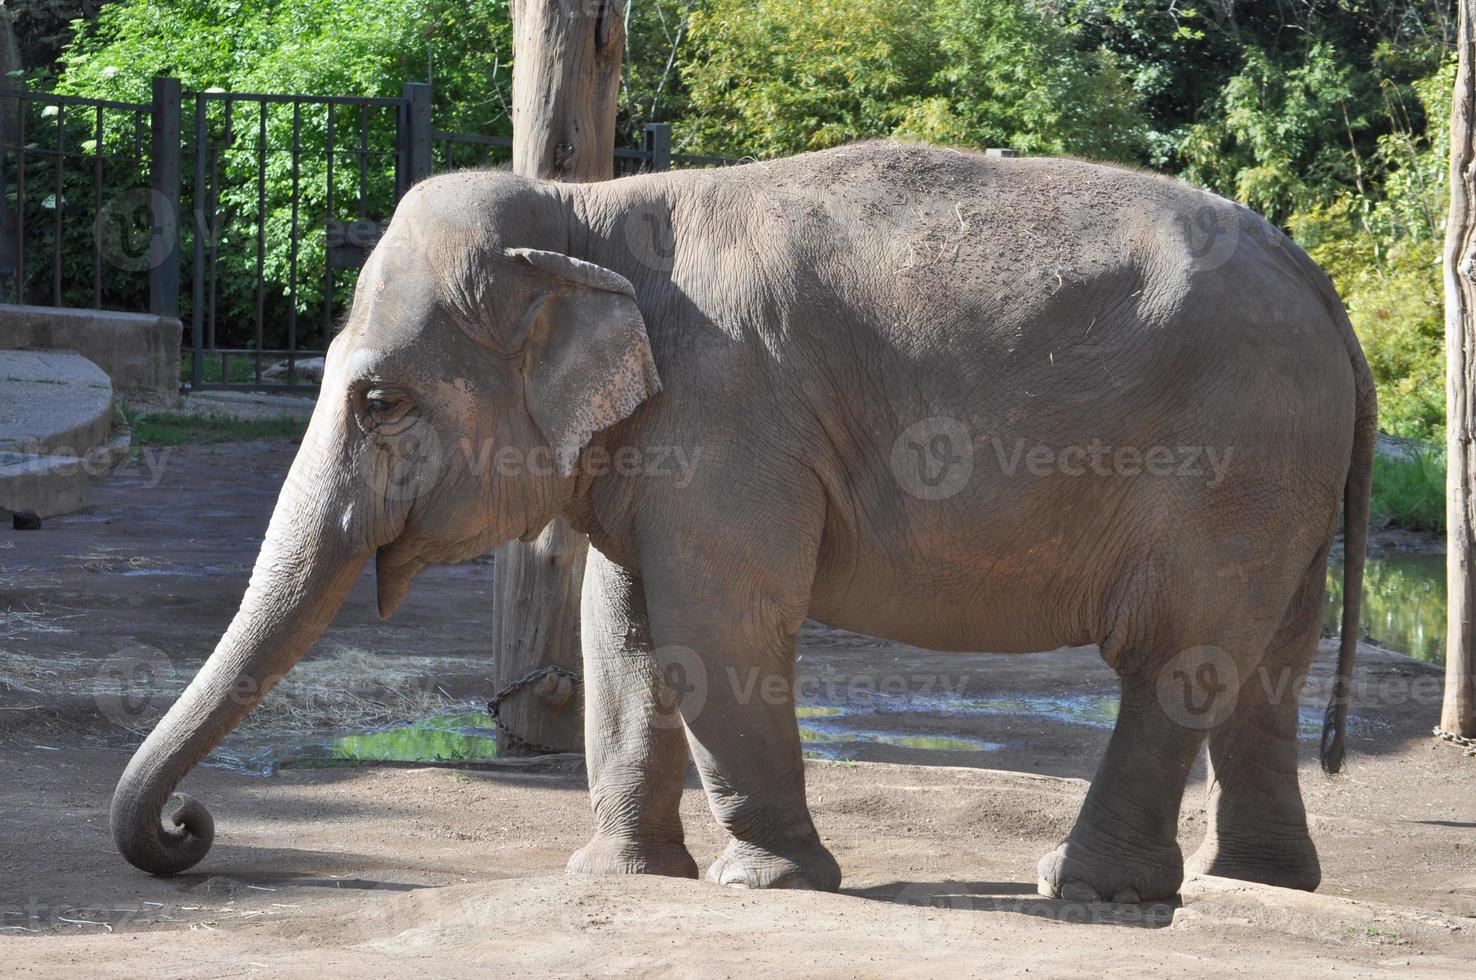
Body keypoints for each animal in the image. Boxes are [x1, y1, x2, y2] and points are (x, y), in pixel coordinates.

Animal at [112, 139, 1369, 903]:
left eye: (378, 400)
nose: (189, 830)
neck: (590, 215)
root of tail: (1322, 285)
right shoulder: (655, 439)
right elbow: (621, 628)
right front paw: (619, 874)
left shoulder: (727, 417)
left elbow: (718, 621)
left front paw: (765, 879)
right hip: (1283, 479)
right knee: (1267, 666)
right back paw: (1255, 882)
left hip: (1229, 462)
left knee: (1174, 656)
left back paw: (1085, 886)